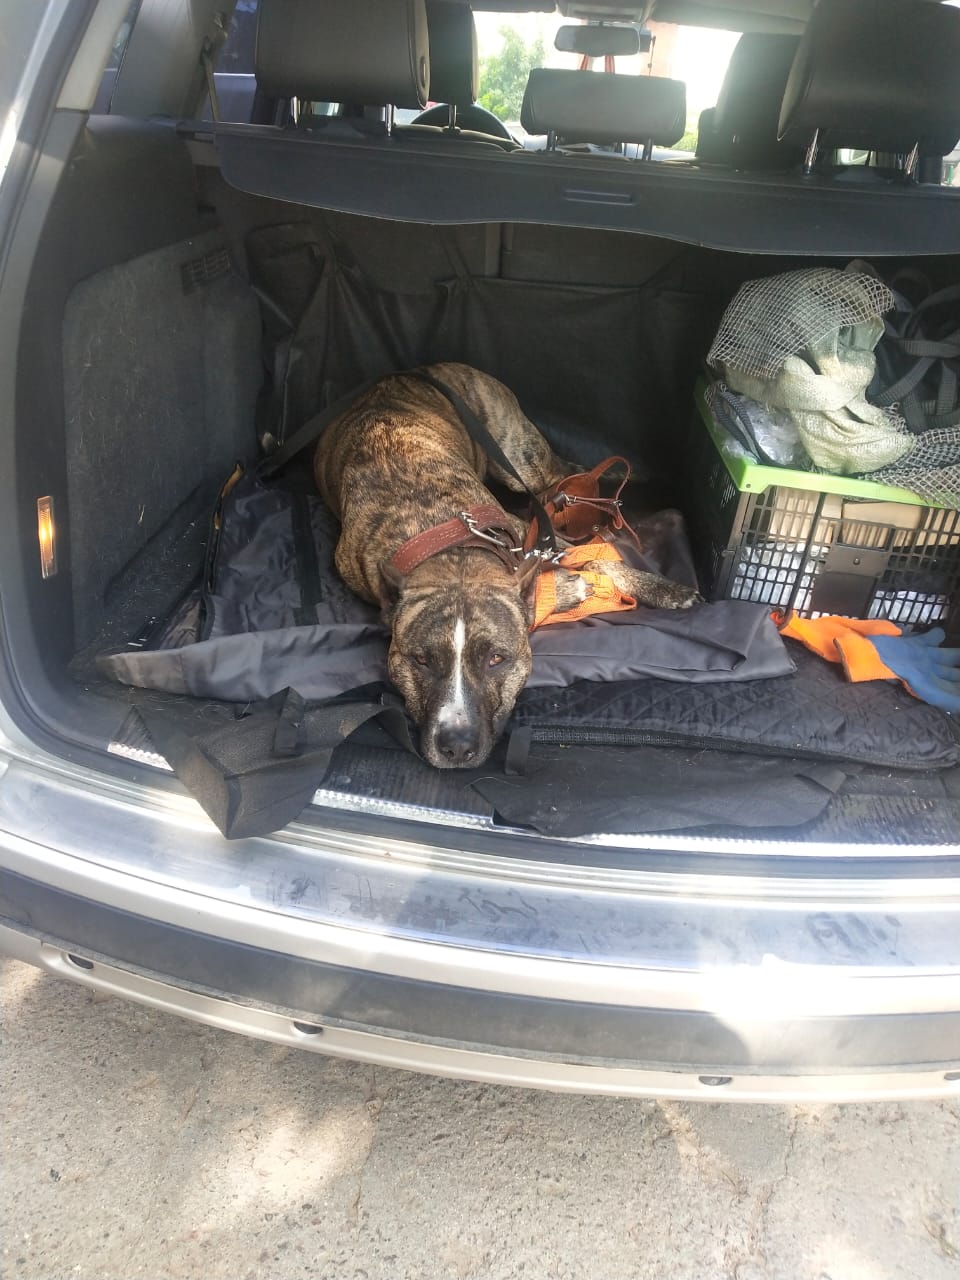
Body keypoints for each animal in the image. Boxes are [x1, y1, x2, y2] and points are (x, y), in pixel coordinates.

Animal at [314, 362, 699, 769]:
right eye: (421, 660)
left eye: (496, 659)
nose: (457, 745)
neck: (448, 547)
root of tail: (418, 370)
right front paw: (569, 588)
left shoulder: (529, 537)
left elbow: (600, 559)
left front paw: (665, 590)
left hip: (519, 462)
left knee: (560, 477)